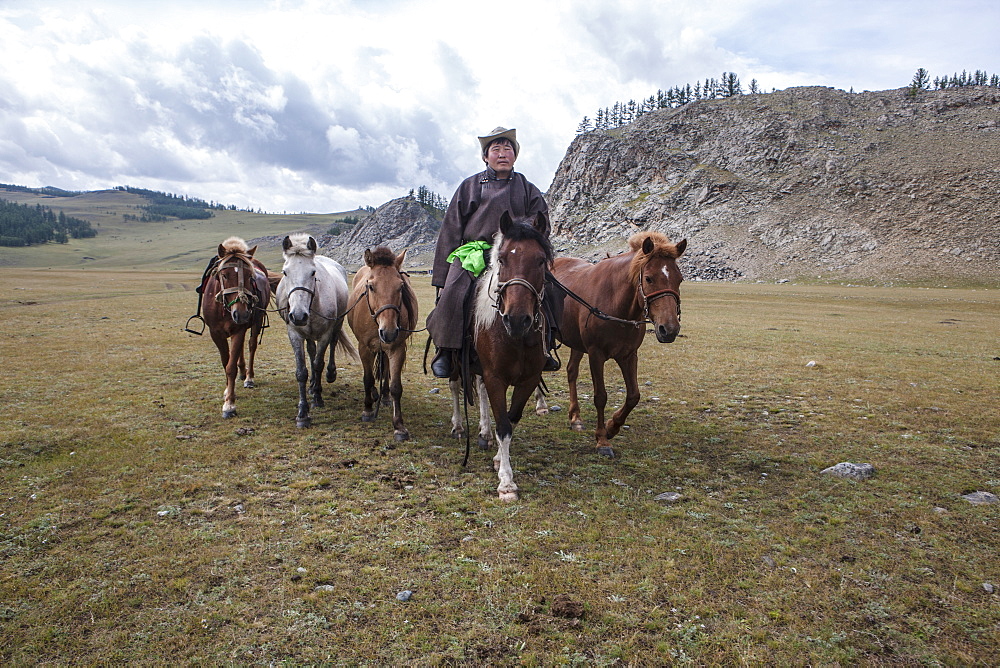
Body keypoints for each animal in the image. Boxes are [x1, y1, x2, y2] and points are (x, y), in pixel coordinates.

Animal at [278, 232, 360, 426]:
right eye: (285, 272)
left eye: (313, 272)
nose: (298, 315)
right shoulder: (295, 335)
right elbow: (302, 371)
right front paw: (302, 413)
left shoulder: (324, 334)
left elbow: (318, 364)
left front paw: (317, 398)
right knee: (311, 350)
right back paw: (312, 385)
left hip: (337, 324)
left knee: (332, 345)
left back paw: (329, 375)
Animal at [348, 248, 418, 440]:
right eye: (371, 286)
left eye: (400, 286)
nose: (389, 331)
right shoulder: (364, 348)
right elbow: (368, 378)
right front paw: (367, 410)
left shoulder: (397, 348)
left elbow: (396, 387)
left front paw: (399, 426)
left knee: (385, 369)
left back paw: (384, 396)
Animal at [552, 231, 684, 460]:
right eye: (648, 278)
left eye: (680, 279)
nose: (669, 329)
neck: (616, 304)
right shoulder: (596, 354)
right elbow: (600, 397)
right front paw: (602, 440)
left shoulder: (629, 355)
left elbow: (633, 396)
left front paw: (612, 427)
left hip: (576, 343)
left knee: (571, 372)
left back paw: (575, 417)